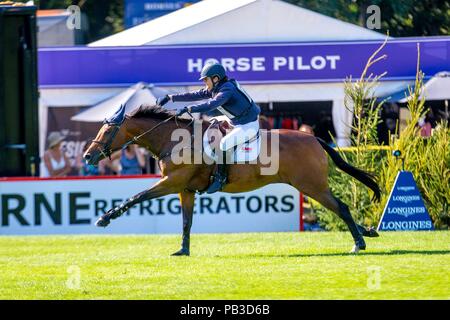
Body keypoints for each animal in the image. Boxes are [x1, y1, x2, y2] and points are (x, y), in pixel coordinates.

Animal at [84, 104, 380, 256]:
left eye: (107, 130)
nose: (88, 156)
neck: (175, 140)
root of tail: (314, 138)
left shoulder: (171, 182)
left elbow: (137, 197)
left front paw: (104, 218)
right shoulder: (185, 189)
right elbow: (186, 221)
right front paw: (183, 250)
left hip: (311, 186)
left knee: (341, 208)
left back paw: (359, 243)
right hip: (311, 187)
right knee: (339, 208)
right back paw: (367, 232)